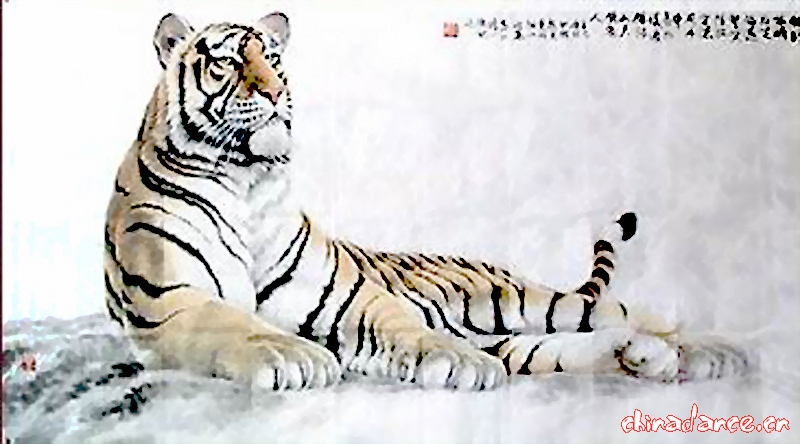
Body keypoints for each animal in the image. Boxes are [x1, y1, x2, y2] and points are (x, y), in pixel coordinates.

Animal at [103, 11, 751, 391]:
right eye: (229, 60)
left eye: (276, 58)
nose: (274, 92)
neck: (248, 184)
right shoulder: (174, 302)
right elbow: (238, 324)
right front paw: (295, 357)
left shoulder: (350, 295)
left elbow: (404, 324)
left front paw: (457, 362)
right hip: (521, 340)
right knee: (574, 346)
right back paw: (652, 360)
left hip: (522, 302)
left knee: (626, 312)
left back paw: (717, 352)